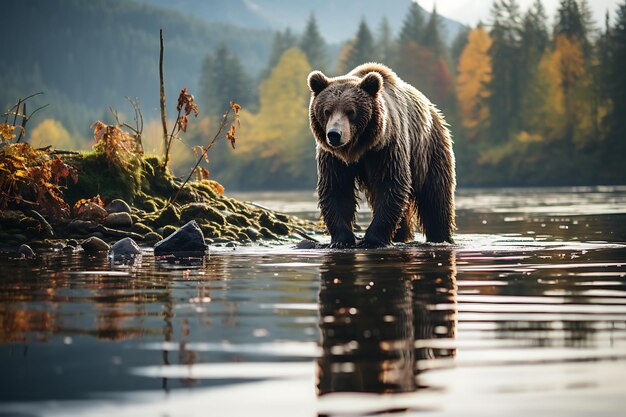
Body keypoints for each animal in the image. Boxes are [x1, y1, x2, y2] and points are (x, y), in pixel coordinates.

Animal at [308, 62, 454, 247]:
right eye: (327, 111)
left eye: (351, 111)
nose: (334, 134)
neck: (358, 148)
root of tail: (433, 111)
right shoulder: (333, 158)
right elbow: (337, 189)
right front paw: (342, 240)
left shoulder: (386, 149)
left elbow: (391, 184)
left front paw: (372, 239)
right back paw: (401, 236)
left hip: (429, 150)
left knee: (436, 198)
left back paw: (440, 237)